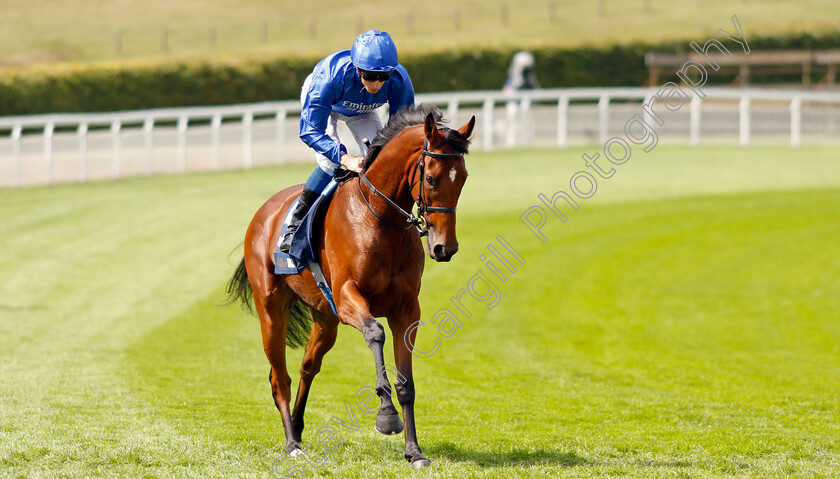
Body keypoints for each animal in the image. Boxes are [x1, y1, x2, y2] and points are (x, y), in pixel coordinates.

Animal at [228, 105, 472, 468]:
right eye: (430, 178)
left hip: (324, 319)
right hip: (272, 310)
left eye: (464, 177)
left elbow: (406, 382)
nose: (446, 247)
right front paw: (386, 415)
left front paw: (414, 451)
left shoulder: (406, 310)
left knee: (308, 366)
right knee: (279, 377)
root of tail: (264, 212)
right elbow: (375, 333)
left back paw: (298, 428)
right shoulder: (347, 300)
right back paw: (292, 444)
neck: (380, 219)